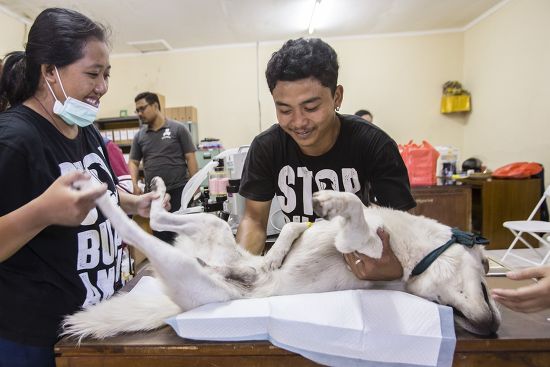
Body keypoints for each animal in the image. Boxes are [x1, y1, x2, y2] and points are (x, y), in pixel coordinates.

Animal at [62, 177, 502, 340]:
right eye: (486, 279)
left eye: (445, 307)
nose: (490, 328)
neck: (415, 255)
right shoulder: (331, 232)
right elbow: (297, 228)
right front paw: (277, 253)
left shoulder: (359, 244)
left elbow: (355, 211)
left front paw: (336, 200)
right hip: (213, 225)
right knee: (157, 218)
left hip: (184, 266)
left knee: (137, 228)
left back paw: (96, 191)